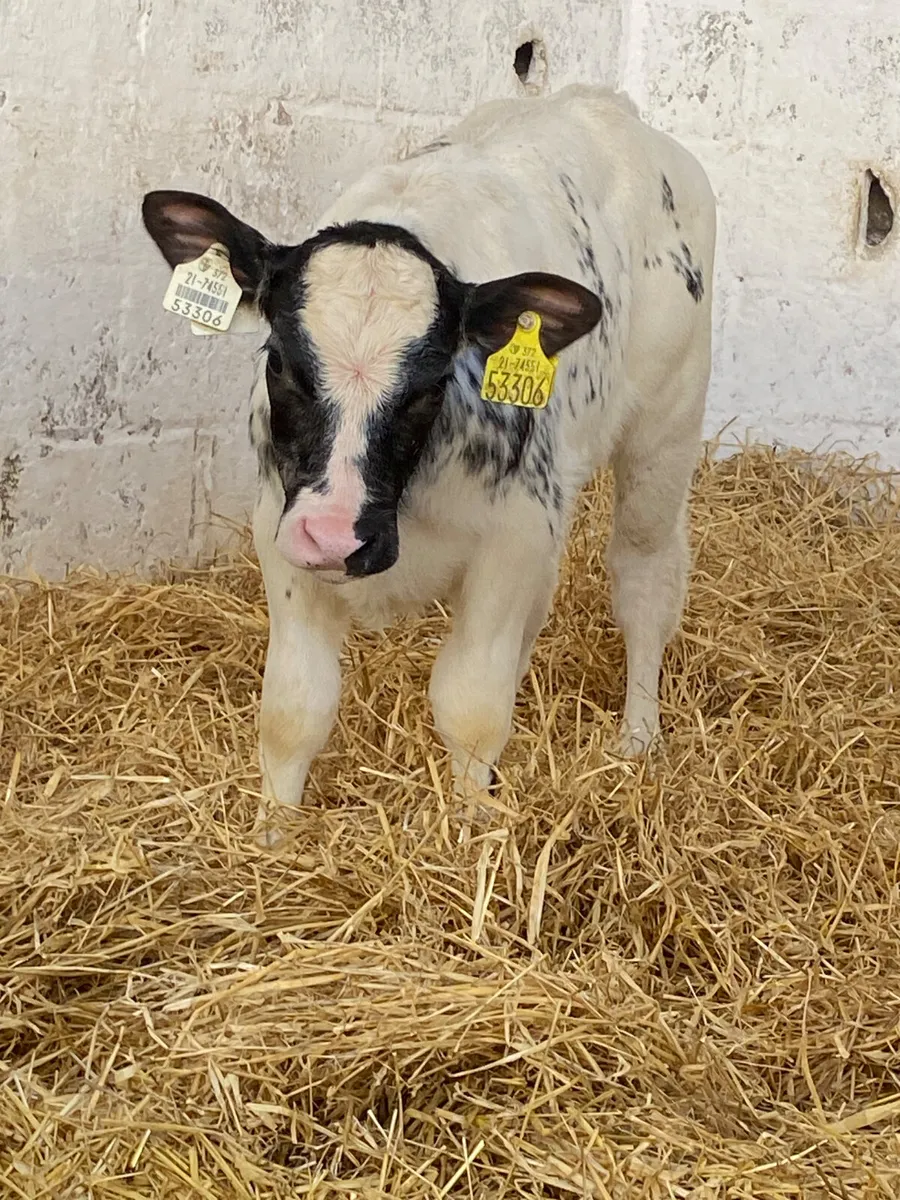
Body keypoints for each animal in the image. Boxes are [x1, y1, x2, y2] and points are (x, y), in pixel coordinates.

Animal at [142, 84, 717, 844]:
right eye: (280, 360)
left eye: (430, 383)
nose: (336, 535)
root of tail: (602, 103)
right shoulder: (281, 530)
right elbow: (294, 709)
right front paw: (272, 837)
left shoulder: (512, 534)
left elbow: (470, 706)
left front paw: (472, 830)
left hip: (666, 427)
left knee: (645, 580)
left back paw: (639, 738)